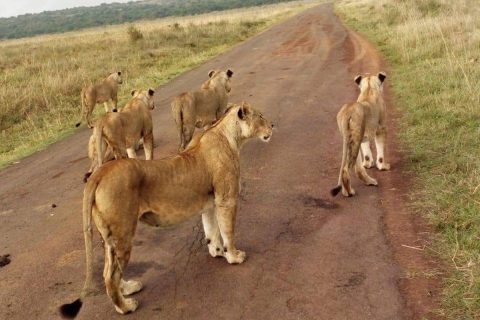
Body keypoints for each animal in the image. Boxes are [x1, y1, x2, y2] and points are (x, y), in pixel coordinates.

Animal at [59, 102, 274, 318]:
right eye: (260, 116)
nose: (272, 125)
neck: (229, 136)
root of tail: (99, 173)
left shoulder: (210, 203)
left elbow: (211, 231)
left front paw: (217, 252)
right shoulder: (226, 199)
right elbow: (228, 231)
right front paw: (234, 256)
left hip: (109, 237)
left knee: (110, 269)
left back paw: (128, 288)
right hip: (123, 232)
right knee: (110, 275)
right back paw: (126, 306)